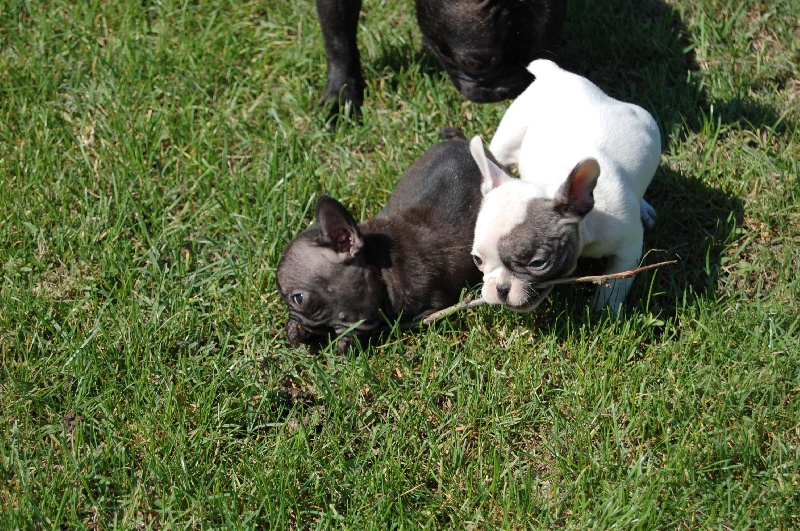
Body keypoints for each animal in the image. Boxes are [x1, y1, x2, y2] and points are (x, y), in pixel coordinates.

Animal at [469, 59, 661, 315]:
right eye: (477, 260)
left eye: (538, 263)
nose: (500, 288)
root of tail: (557, 73)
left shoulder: (627, 249)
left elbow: (615, 282)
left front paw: (605, 309)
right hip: (508, 136)